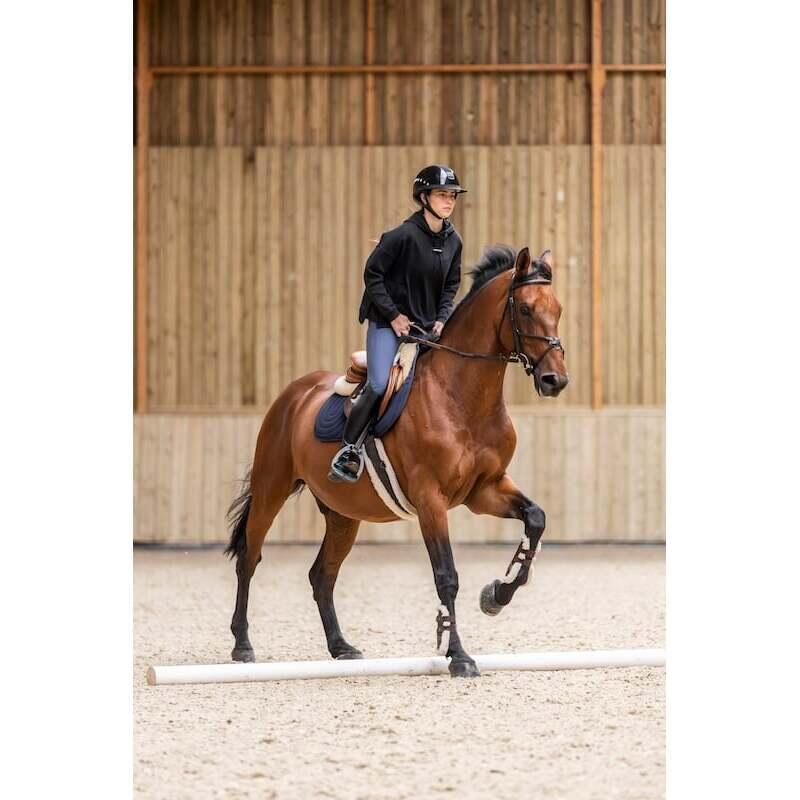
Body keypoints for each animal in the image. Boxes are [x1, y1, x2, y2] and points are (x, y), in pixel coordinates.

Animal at [224, 245, 569, 677]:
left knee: (322, 575)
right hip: (272, 490)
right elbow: (446, 576)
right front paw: (459, 656)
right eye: (524, 309)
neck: (462, 397)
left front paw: (496, 595)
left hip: (343, 515)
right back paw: (242, 645)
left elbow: (535, 520)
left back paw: (341, 647)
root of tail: (294, 393)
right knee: (249, 559)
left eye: (557, 309)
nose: (556, 381)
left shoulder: (485, 490)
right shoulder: (430, 500)